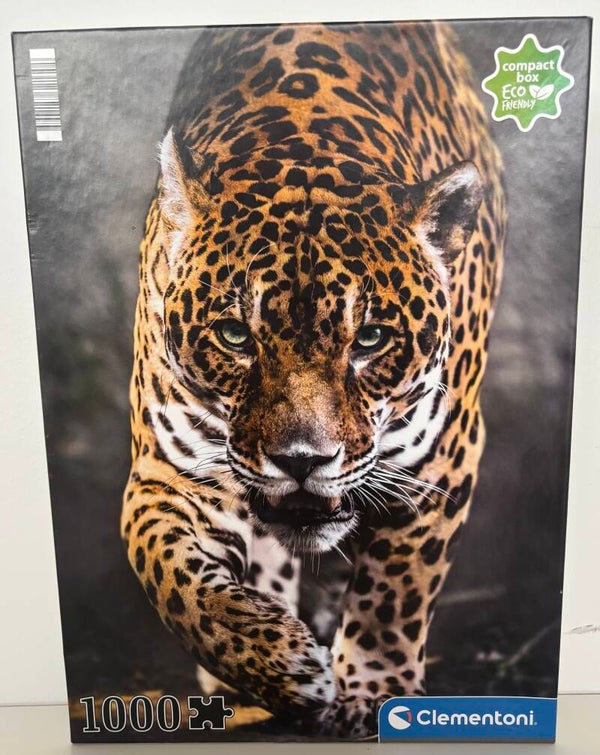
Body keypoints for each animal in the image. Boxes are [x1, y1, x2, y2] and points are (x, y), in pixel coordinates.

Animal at [121, 20, 505, 738]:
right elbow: (170, 574)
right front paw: (278, 664)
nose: (302, 460)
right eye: (235, 336)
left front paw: (376, 693)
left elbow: (395, 591)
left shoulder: (441, 460)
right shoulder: (170, 470)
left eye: (370, 340)